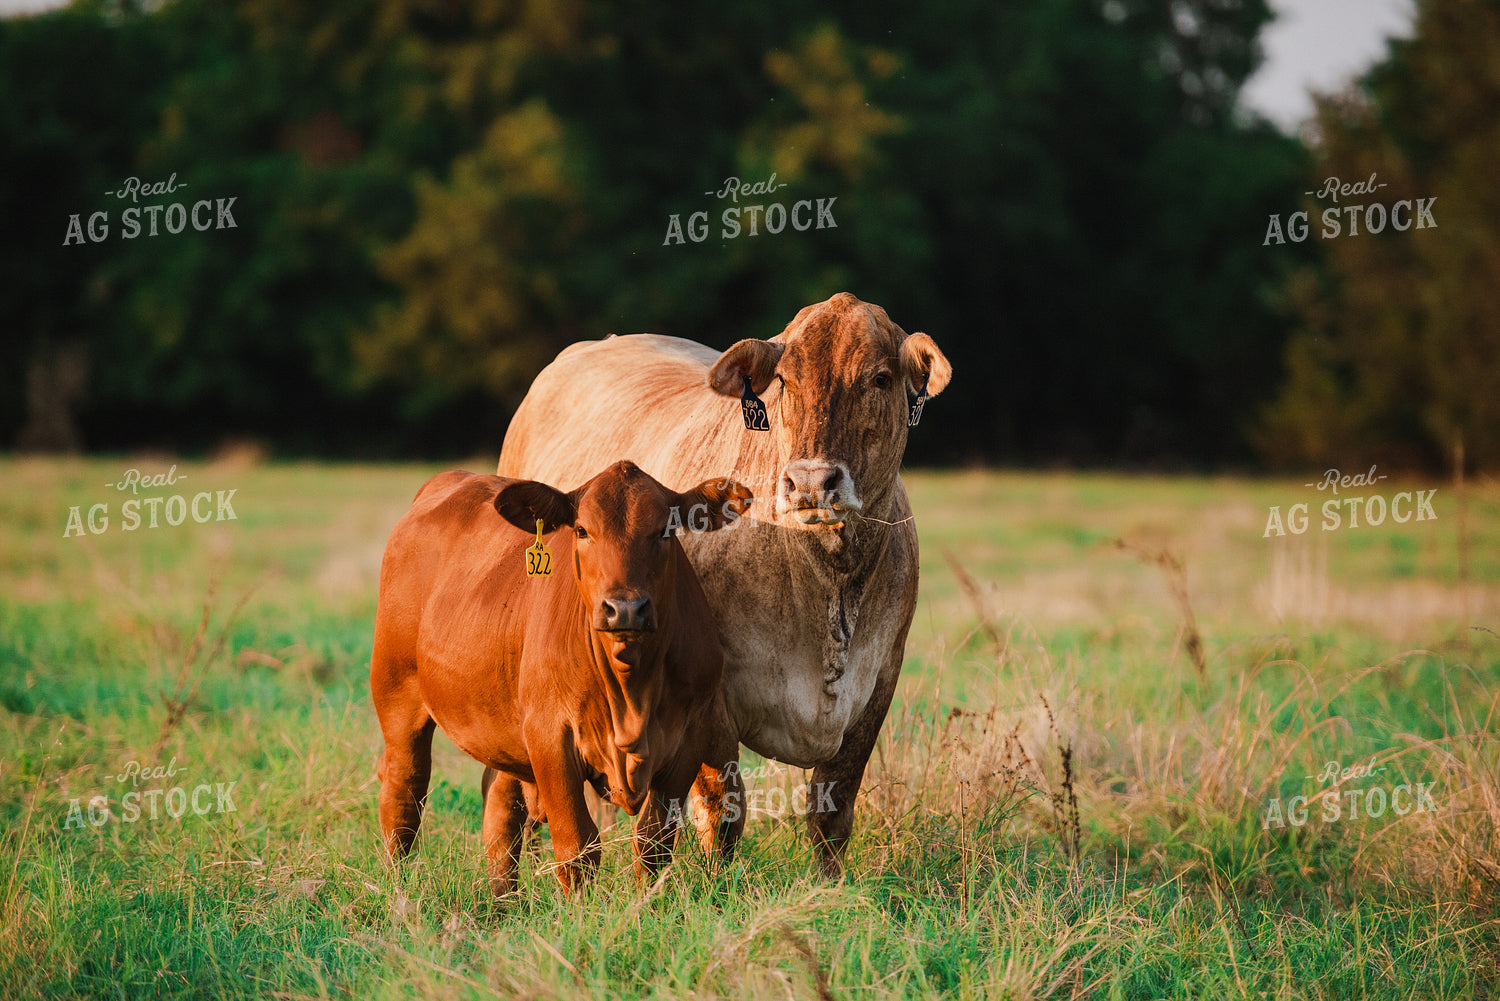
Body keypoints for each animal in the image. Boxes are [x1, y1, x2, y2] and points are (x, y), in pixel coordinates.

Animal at [370, 462, 752, 894]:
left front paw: (646, 903)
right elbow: (576, 845)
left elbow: (653, 842)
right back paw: (396, 886)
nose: (624, 608)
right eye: (582, 530)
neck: (631, 692)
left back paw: (503, 898)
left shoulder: (689, 737)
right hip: (397, 695)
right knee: (405, 791)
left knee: (500, 805)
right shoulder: (549, 735)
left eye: (665, 530)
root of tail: (450, 479)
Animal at [497, 292, 951, 876]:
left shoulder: (879, 683)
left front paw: (830, 885)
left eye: (880, 378)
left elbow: (832, 813)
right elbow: (723, 811)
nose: (810, 482)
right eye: (783, 381)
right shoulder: (710, 697)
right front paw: (717, 886)